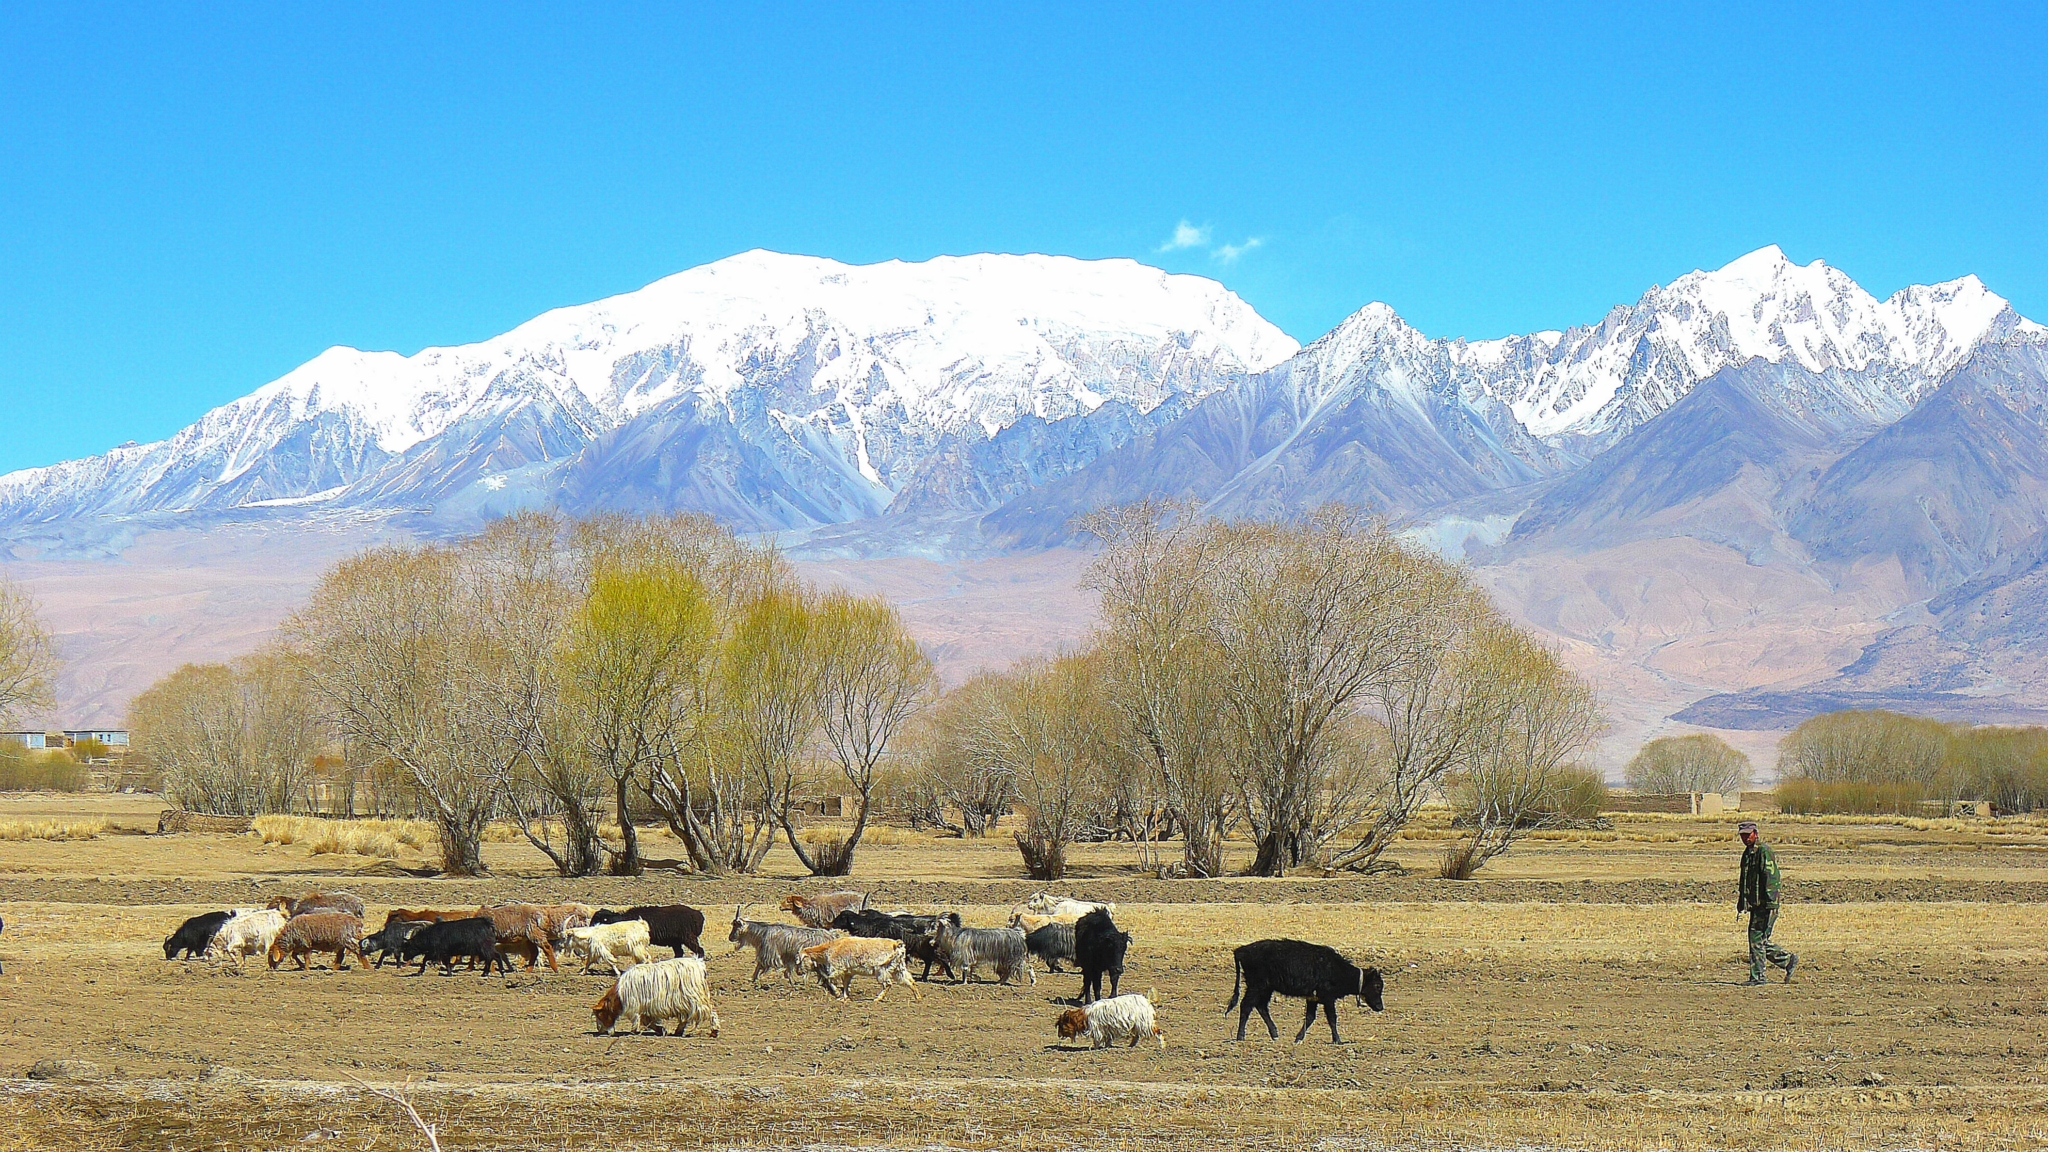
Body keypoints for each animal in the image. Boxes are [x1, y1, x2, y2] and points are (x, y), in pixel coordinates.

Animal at [1220, 934, 1384, 1041]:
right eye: (1377, 985)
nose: (1380, 1007)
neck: (1335, 968)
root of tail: (1241, 950)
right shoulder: (1327, 998)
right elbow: (1332, 1018)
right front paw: (1337, 1040)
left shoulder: (1313, 998)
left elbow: (1310, 1017)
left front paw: (1298, 1038)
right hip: (1256, 986)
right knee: (1246, 1005)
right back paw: (1241, 1036)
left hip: (1266, 988)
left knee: (1261, 1007)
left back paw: (1275, 1034)